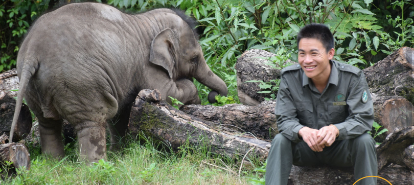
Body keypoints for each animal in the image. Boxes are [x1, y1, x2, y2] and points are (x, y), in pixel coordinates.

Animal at [9, 2, 228, 163]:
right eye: (194, 59)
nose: (214, 96)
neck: (148, 22)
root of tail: (33, 52)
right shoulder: (147, 66)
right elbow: (165, 93)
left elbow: (123, 111)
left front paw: (120, 153)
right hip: (78, 82)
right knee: (92, 120)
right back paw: (97, 166)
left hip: (34, 85)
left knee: (47, 122)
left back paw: (54, 163)